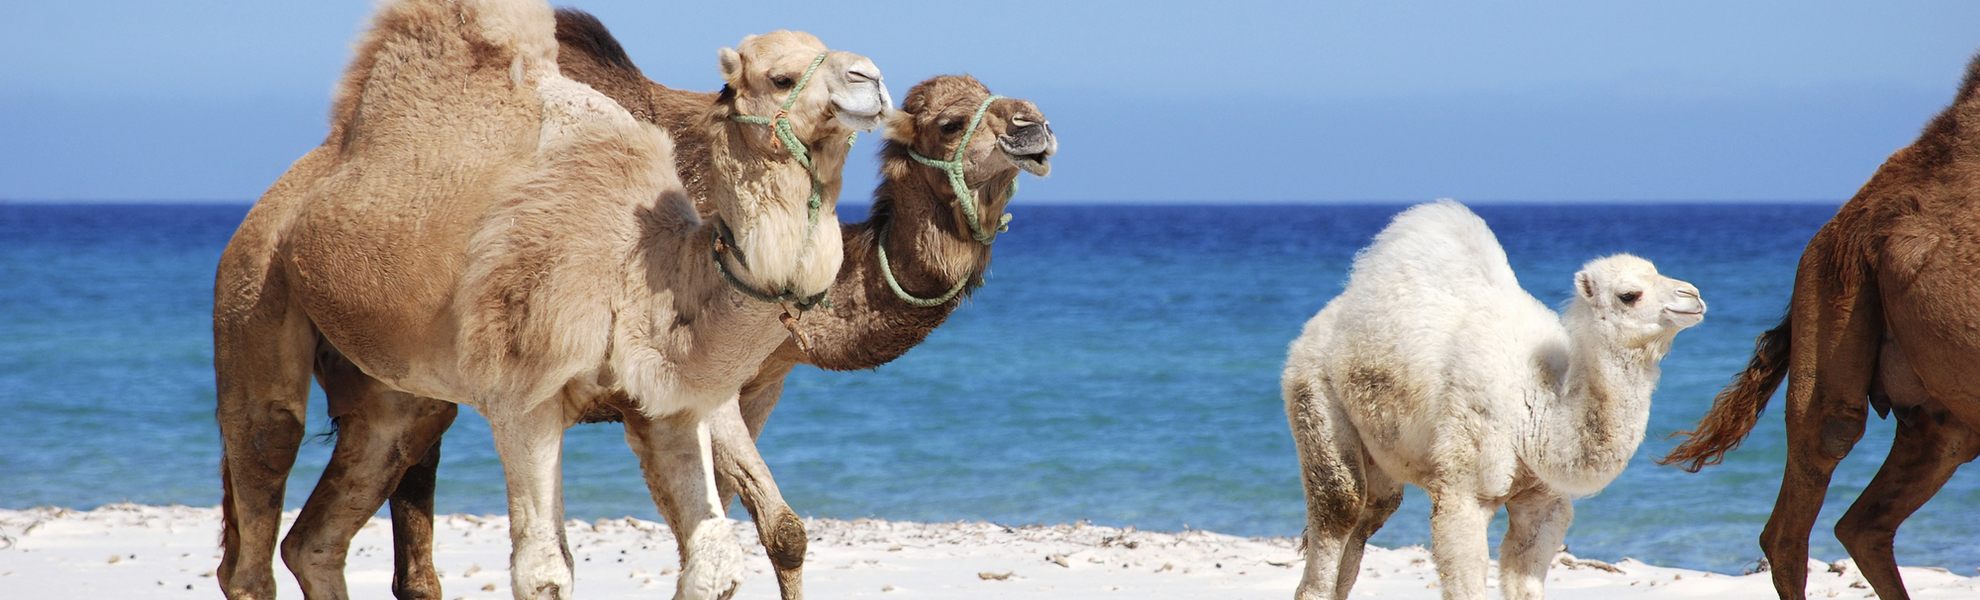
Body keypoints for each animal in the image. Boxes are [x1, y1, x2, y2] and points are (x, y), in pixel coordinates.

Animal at [268, 11, 1056, 599]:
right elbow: (784, 530)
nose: (1034, 126)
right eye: (951, 123)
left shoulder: (753, 383)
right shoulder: (707, 380)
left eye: (995, 94)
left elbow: (740, 525)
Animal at [1281, 200, 1705, 600]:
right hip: (1313, 392)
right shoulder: (1463, 493)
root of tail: (1314, 327)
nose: (1694, 295)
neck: (1537, 411)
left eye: (1657, 271)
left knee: (1371, 514)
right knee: (1340, 507)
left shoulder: (1543, 501)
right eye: (1629, 295)